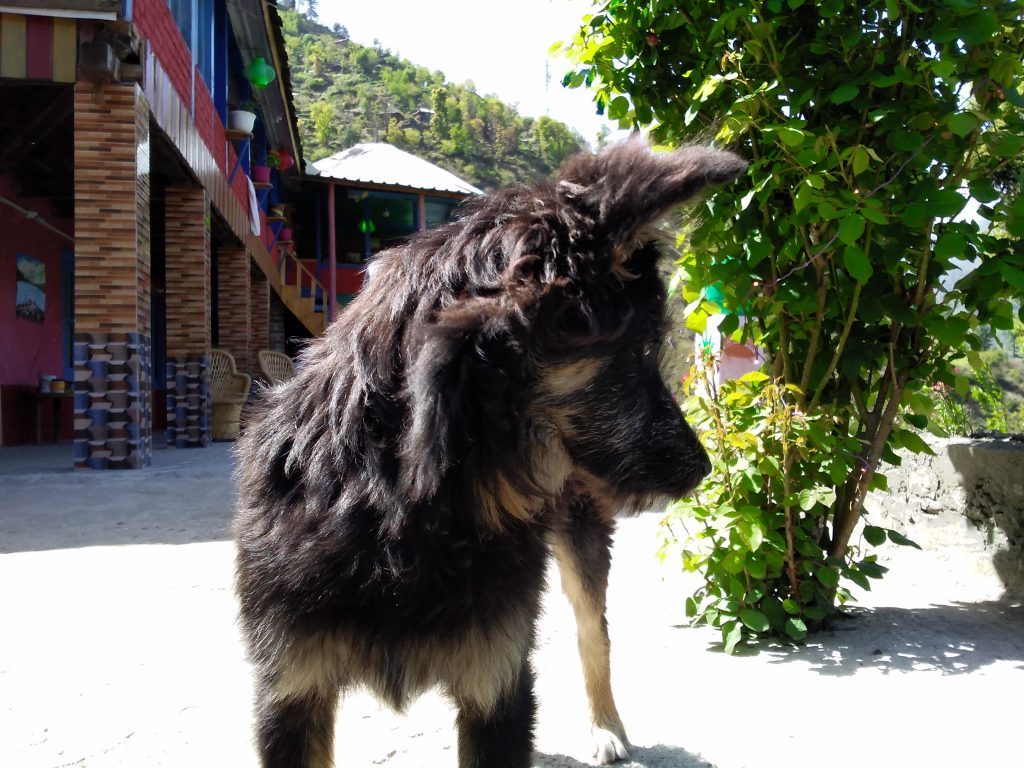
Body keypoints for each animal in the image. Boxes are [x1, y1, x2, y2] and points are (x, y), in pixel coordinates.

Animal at [233, 137, 746, 768]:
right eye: (636, 355)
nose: (704, 468)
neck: (399, 502)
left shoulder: (496, 682)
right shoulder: (290, 688)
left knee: (593, 631)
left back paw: (605, 725)